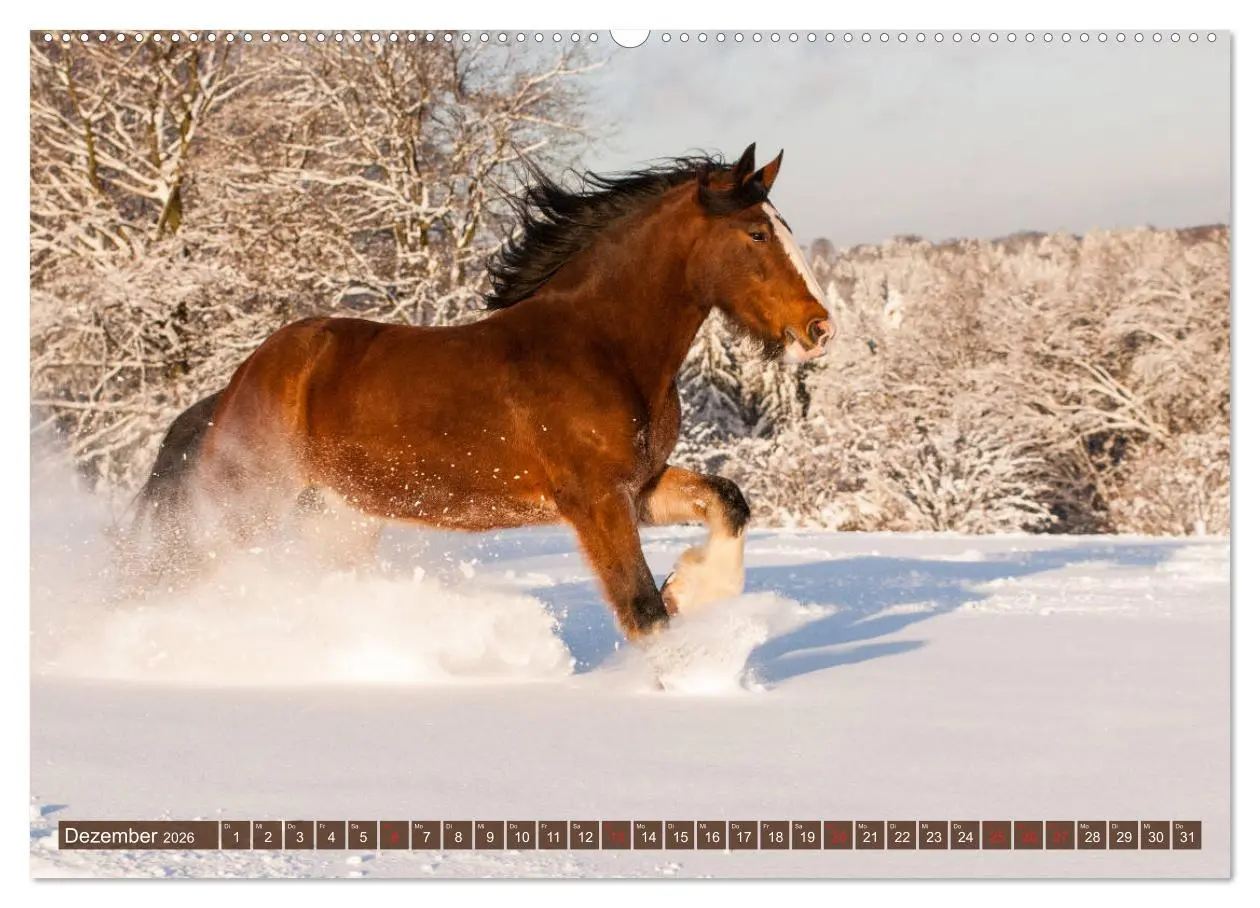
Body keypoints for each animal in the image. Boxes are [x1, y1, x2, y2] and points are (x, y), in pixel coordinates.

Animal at [126, 143, 835, 640]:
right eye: (756, 233)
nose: (820, 328)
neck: (600, 345)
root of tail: (232, 387)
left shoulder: (639, 487)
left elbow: (727, 502)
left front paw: (693, 587)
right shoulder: (595, 501)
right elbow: (642, 611)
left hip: (336, 515)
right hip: (244, 502)